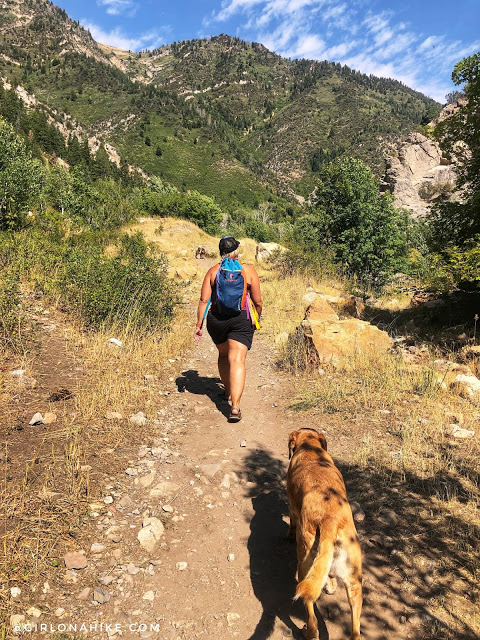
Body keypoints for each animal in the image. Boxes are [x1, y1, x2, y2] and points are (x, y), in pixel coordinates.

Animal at [286, 430, 362, 640]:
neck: (310, 447)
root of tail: (330, 521)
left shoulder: (292, 506)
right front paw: (331, 584)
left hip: (304, 564)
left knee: (311, 615)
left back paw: (308, 631)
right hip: (355, 583)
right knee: (356, 631)